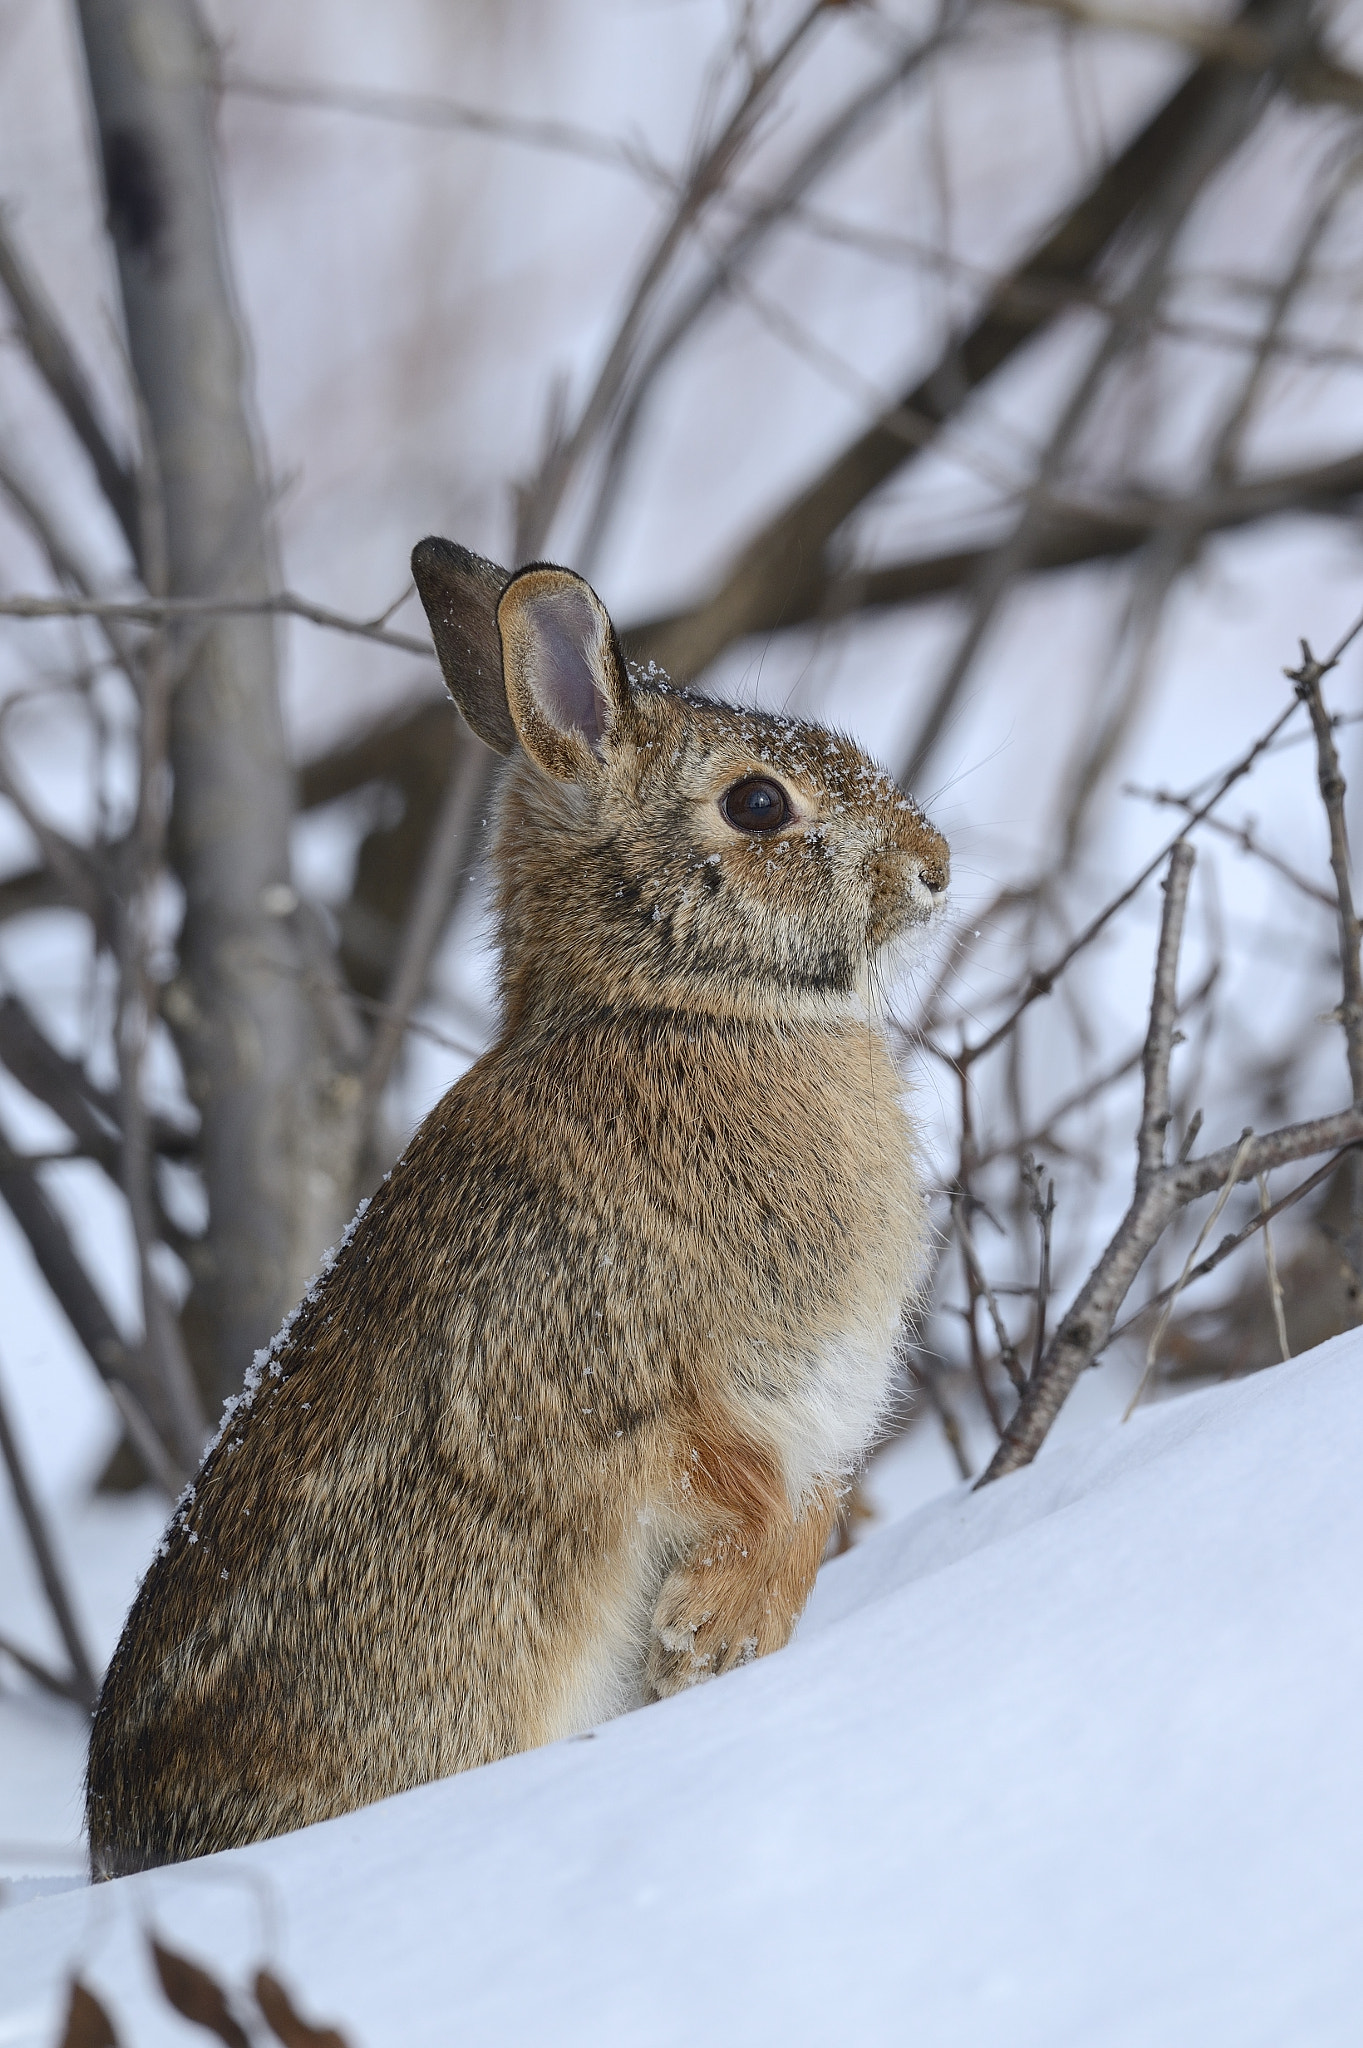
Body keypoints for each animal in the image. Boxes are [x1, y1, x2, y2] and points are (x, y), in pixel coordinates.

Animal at [84, 540, 945, 1875]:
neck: (674, 1005)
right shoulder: (609, 1370)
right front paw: (711, 1629)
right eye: (758, 805)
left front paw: (722, 1639)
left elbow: (804, 1512)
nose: (934, 866)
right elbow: (728, 1481)